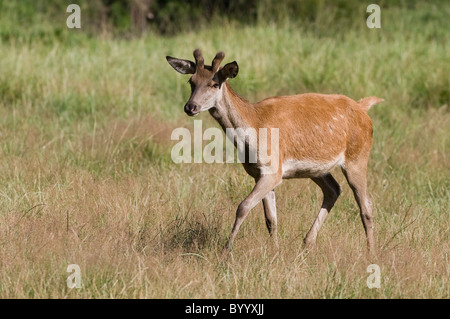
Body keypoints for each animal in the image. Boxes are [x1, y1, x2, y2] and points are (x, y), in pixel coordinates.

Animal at [166, 48, 384, 256]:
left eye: (214, 83)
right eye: (191, 81)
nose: (190, 106)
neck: (254, 128)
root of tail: (363, 109)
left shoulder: (273, 170)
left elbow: (243, 206)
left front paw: (226, 250)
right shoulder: (259, 173)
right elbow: (271, 219)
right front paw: (275, 252)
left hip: (357, 157)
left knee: (366, 204)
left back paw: (371, 252)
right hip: (317, 169)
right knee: (334, 190)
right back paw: (307, 242)